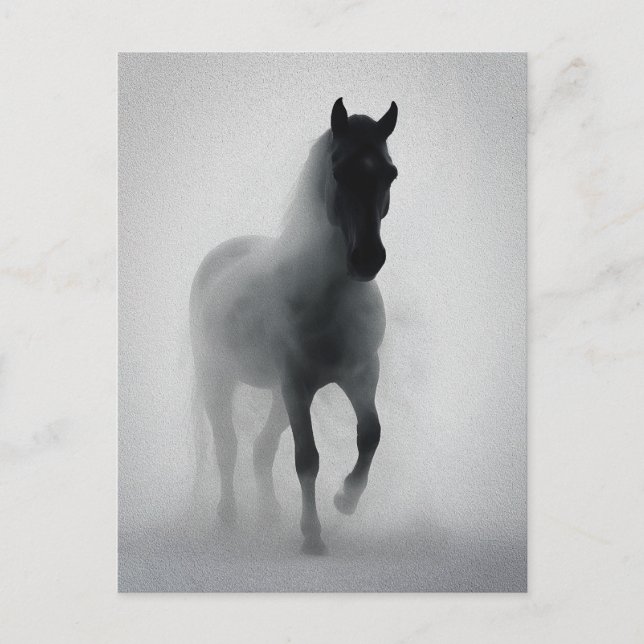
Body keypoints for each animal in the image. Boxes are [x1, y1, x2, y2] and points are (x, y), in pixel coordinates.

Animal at [189, 97, 398, 554]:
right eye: (338, 170)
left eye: (389, 172)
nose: (366, 259)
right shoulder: (297, 382)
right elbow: (307, 460)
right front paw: (313, 536)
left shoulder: (360, 374)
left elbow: (370, 435)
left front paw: (345, 500)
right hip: (219, 378)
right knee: (229, 447)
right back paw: (228, 515)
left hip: (278, 395)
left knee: (261, 448)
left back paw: (269, 514)